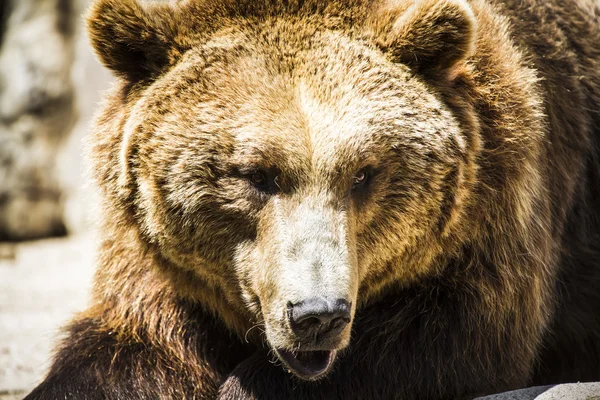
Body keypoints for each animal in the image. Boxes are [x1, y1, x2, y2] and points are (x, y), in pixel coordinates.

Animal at [24, 0, 600, 398]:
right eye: (255, 174)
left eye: (363, 173)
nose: (318, 313)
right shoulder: (155, 262)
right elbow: (128, 348)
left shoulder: (492, 218)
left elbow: (451, 338)